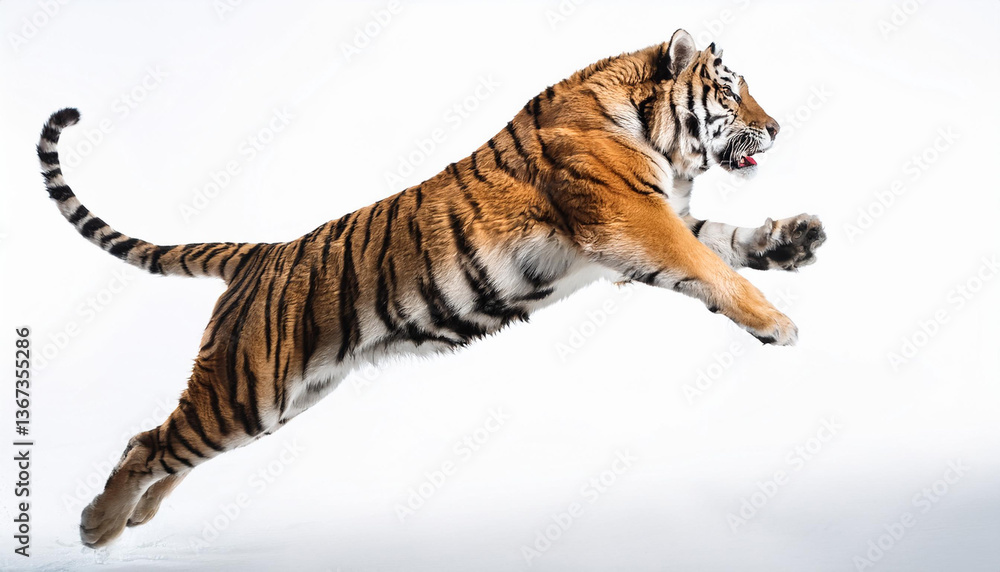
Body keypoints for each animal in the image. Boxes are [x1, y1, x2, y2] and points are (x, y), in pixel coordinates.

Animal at [36, 29, 826, 548]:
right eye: (731, 91)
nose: (779, 128)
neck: (656, 133)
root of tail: (259, 256)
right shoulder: (634, 219)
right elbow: (713, 268)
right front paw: (779, 323)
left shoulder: (661, 218)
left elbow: (726, 240)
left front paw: (795, 238)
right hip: (247, 390)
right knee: (147, 443)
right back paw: (98, 526)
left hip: (278, 401)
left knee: (171, 447)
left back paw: (137, 517)